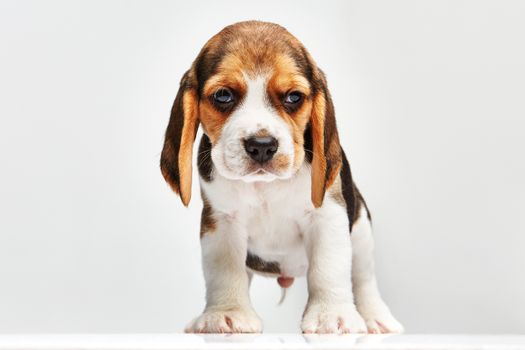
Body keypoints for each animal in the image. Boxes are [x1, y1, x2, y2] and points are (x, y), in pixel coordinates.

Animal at [160, 21, 402, 334]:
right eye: (223, 95)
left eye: (293, 97)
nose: (262, 145)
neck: (264, 186)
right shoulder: (221, 222)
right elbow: (224, 270)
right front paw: (227, 313)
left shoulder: (329, 215)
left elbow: (329, 268)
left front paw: (331, 315)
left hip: (360, 229)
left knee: (363, 278)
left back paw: (376, 318)